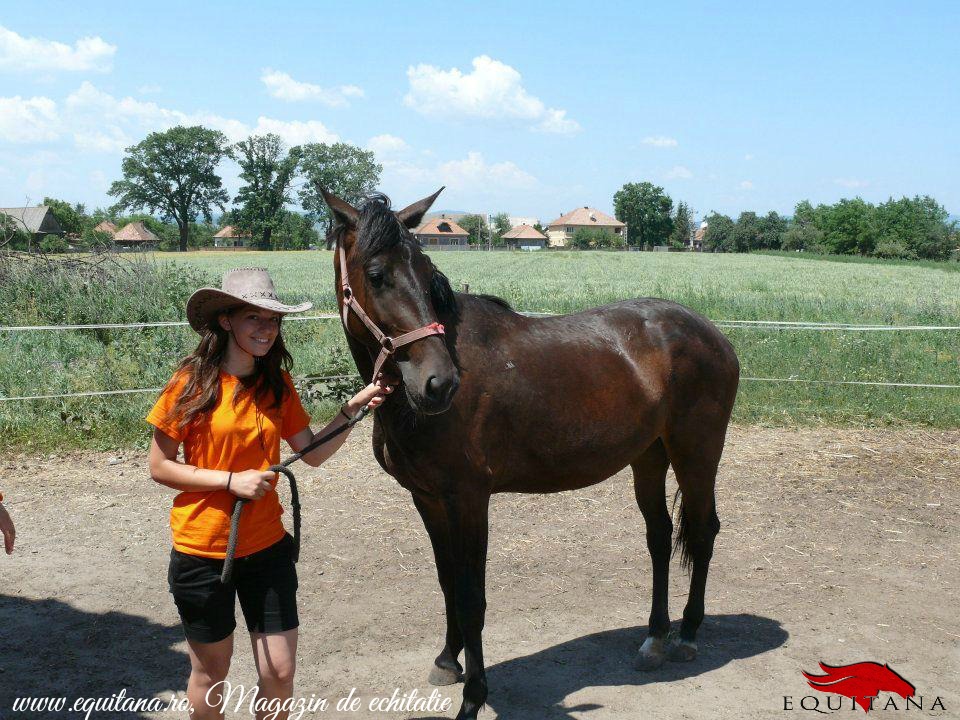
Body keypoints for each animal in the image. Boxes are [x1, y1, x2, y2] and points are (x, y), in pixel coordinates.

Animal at [322, 187, 744, 720]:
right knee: (660, 537)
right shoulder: (428, 499)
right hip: (649, 457)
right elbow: (447, 582)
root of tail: (712, 333)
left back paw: (686, 634)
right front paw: (447, 660)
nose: (440, 383)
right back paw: (654, 638)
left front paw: (473, 698)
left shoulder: (469, 499)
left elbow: (472, 595)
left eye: (426, 269)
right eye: (377, 275)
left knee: (703, 531)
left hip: (696, 453)